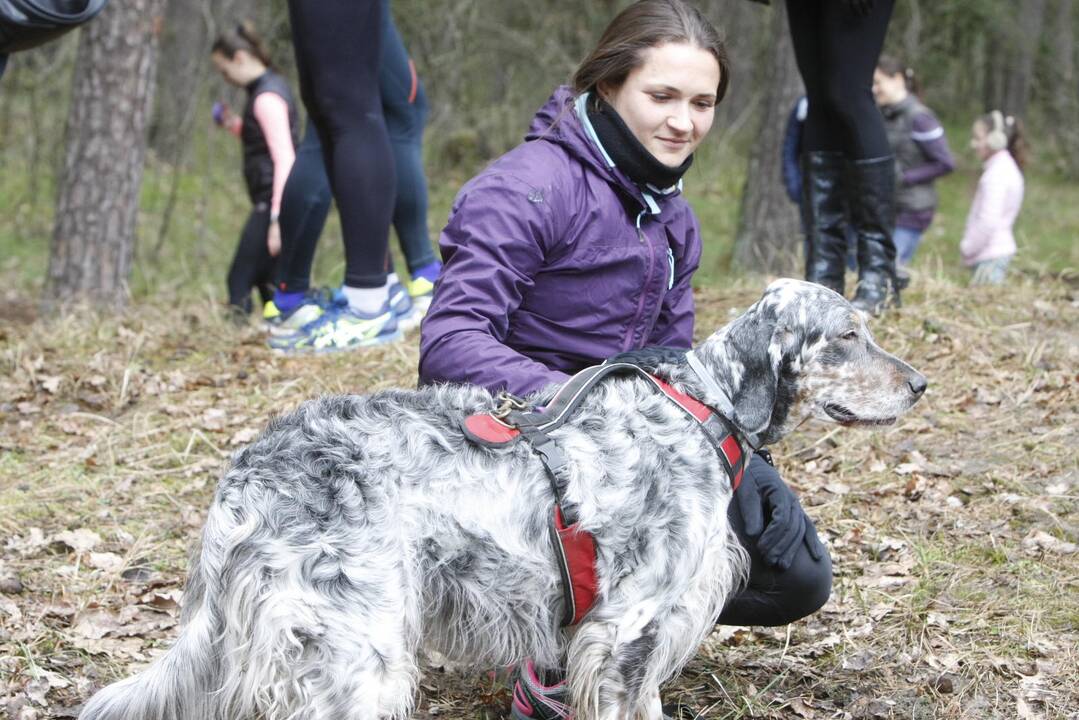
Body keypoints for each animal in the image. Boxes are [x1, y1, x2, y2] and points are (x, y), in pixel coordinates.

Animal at [82, 280, 927, 720]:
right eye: (846, 335)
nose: (918, 383)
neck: (703, 407)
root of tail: (246, 473)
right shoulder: (628, 633)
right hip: (357, 656)